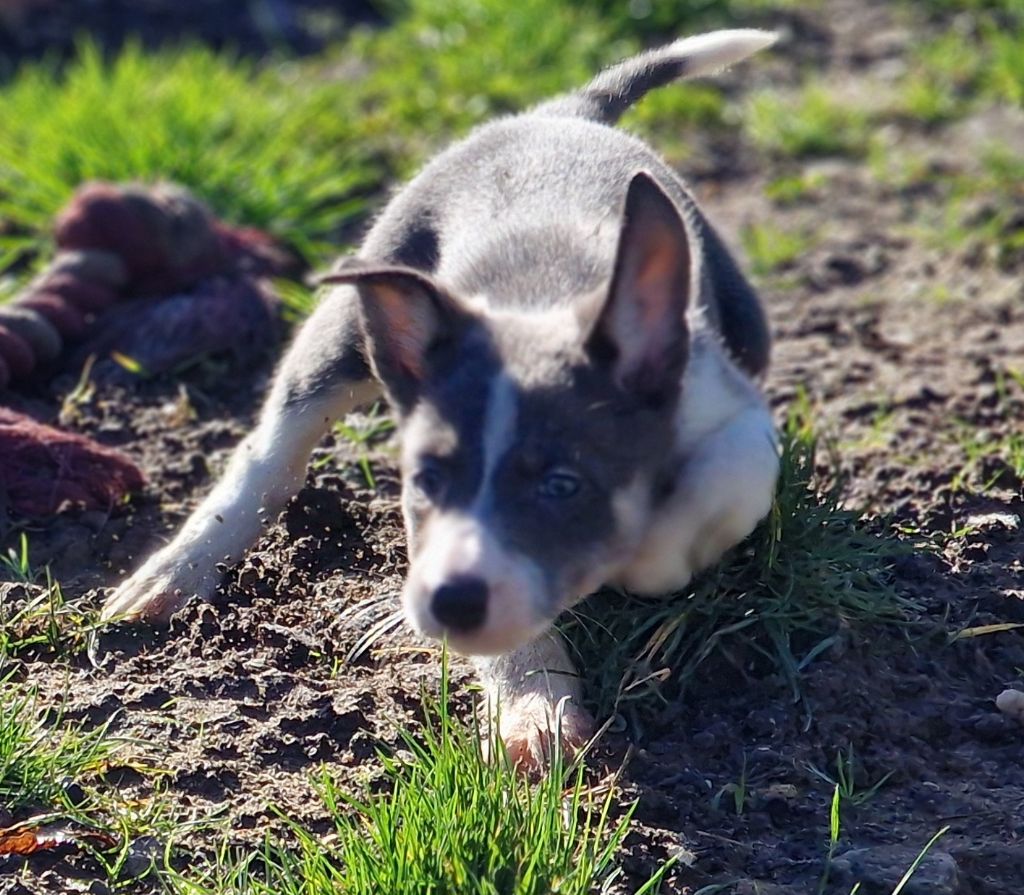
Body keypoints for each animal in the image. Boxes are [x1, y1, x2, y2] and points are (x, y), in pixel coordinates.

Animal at [102, 30, 781, 769]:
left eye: (562, 483)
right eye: (426, 480)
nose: (447, 600)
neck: (537, 306)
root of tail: (560, 112)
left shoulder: (734, 411)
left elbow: (724, 483)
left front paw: (649, 553)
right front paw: (533, 708)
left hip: (747, 325)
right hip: (347, 324)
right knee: (272, 449)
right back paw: (172, 577)